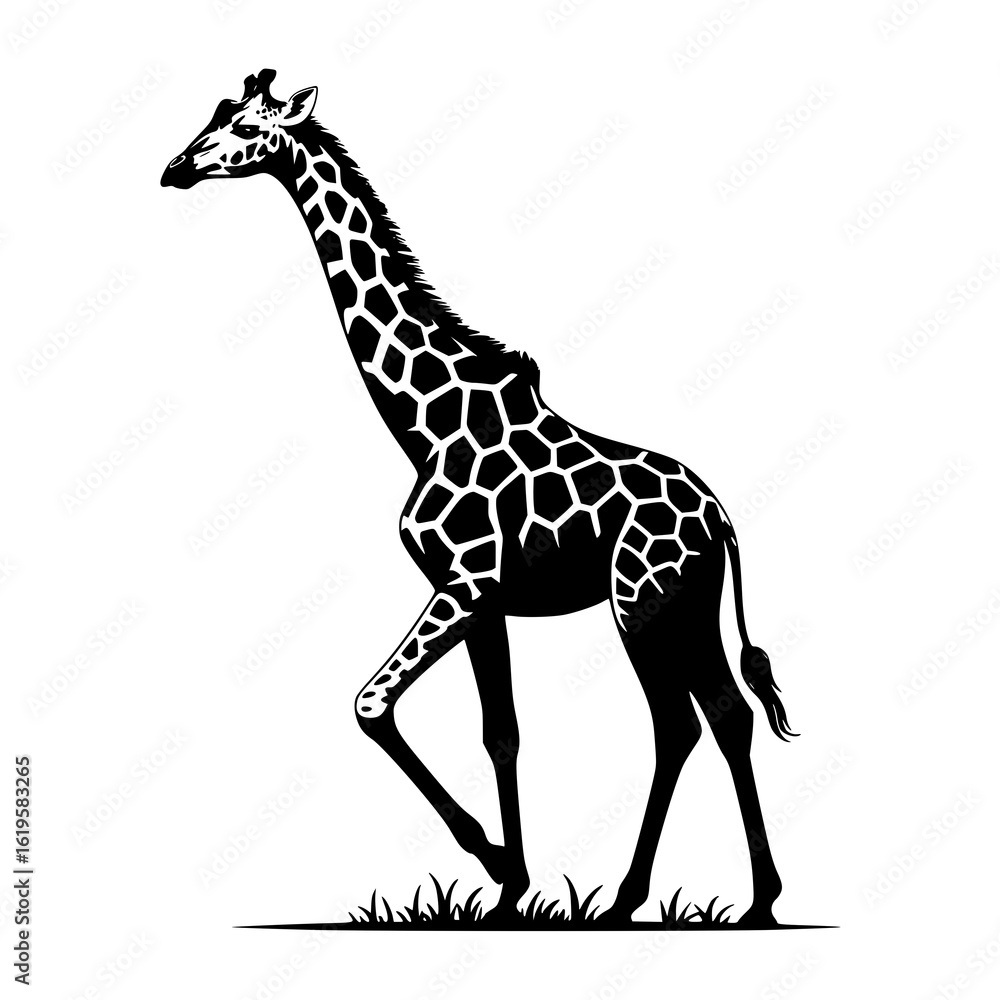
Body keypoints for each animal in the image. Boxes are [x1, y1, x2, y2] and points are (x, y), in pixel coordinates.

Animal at [162, 70, 797, 927]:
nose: (175, 168)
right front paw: (510, 890)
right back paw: (753, 897)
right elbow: (502, 734)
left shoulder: (462, 586)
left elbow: (370, 704)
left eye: (244, 126)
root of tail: (722, 518)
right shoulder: (482, 600)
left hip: (641, 603)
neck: (424, 421)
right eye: (215, 115)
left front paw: (496, 861)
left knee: (677, 725)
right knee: (727, 716)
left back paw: (639, 897)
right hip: (687, 606)